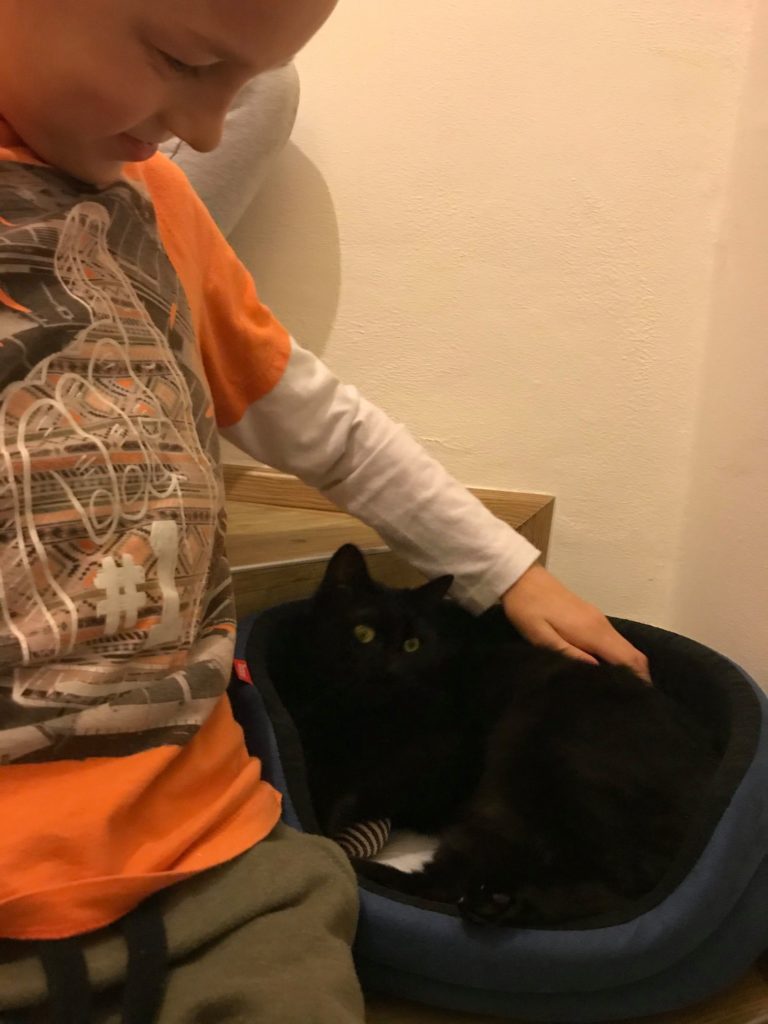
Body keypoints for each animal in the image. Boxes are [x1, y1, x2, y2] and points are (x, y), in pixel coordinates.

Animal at [268, 544, 719, 927]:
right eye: (363, 634)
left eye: (412, 645)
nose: (389, 669)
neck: (350, 714)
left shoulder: (438, 755)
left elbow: (354, 792)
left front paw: (326, 827)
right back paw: (503, 902)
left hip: (523, 766)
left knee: (450, 881)